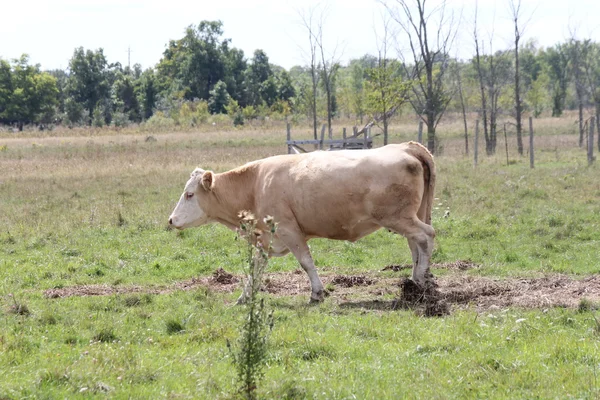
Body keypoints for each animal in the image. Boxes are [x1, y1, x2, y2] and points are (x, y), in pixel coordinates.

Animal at [169, 142, 436, 302]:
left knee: (426, 236)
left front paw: (317, 292)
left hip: (399, 217)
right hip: (409, 216)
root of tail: (406, 147)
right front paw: (244, 298)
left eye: (189, 194)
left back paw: (422, 281)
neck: (255, 186)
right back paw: (415, 282)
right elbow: (256, 268)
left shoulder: (288, 230)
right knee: (415, 244)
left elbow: (306, 262)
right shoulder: (265, 238)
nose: (171, 220)